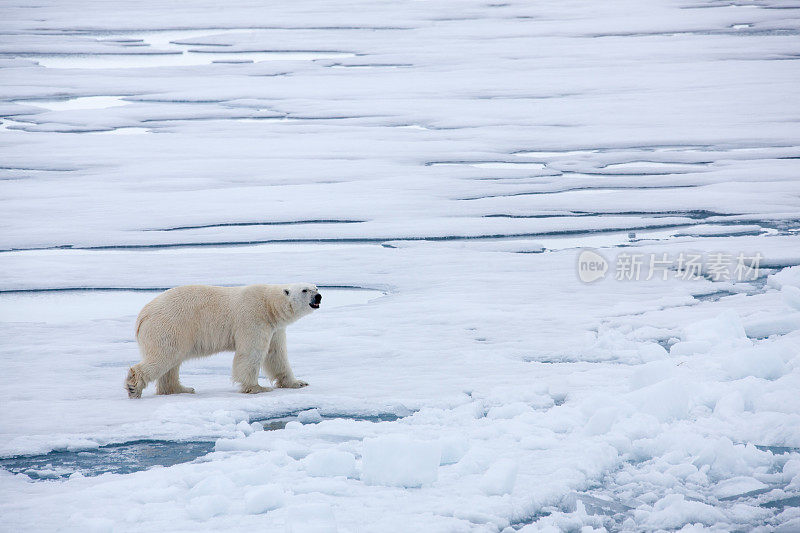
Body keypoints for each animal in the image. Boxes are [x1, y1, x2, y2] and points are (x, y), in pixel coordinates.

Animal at [125, 284, 318, 396]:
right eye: (304, 290)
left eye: (315, 287)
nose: (319, 296)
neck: (268, 304)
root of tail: (143, 315)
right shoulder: (253, 319)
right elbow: (251, 354)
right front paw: (257, 387)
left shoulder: (274, 328)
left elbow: (276, 354)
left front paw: (298, 382)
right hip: (170, 326)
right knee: (164, 357)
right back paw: (133, 387)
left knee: (171, 363)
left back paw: (181, 389)